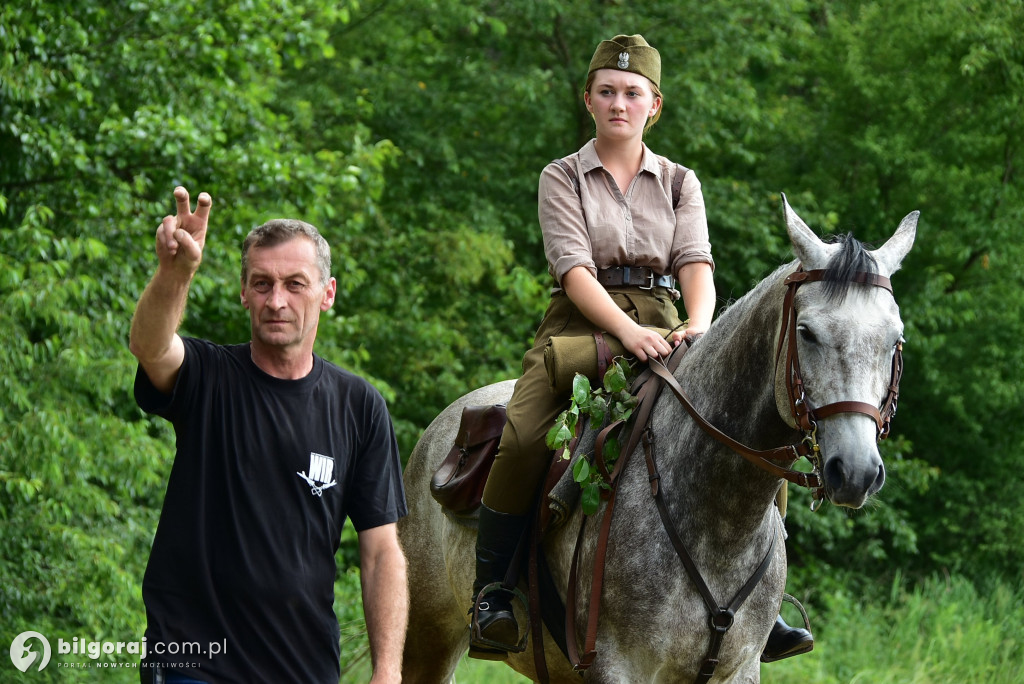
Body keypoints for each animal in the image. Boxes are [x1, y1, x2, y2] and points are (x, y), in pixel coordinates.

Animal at [399, 196, 921, 679]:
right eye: (807, 333)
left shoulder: (740, 669)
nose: (856, 471)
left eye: (895, 340)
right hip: (425, 639)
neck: (720, 518)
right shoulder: (618, 666)